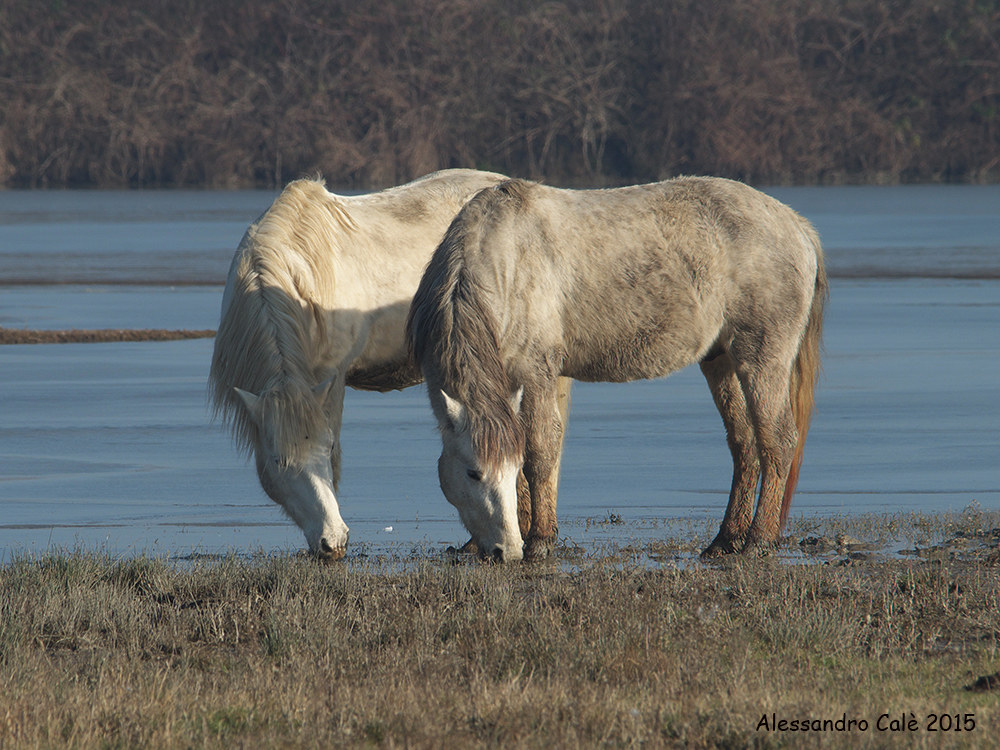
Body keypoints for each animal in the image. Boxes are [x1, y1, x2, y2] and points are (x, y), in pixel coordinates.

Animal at [407, 176, 826, 562]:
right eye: (473, 473)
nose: (504, 551)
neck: (502, 262)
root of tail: (798, 226)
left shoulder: (537, 373)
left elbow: (540, 451)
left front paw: (540, 541)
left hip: (762, 358)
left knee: (777, 442)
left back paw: (759, 540)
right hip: (720, 361)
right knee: (744, 445)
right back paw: (725, 540)